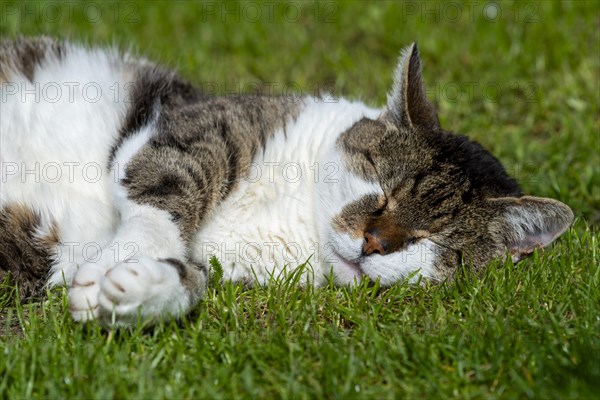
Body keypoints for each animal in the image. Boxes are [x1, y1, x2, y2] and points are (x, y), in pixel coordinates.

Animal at [0, 36, 572, 324]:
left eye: (439, 245)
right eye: (382, 189)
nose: (373, 243)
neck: (301, 218)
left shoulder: (230, 270)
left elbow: (192, 282)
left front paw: (132, 289)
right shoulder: (200, 124)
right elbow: (169, 191)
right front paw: (121, 257)